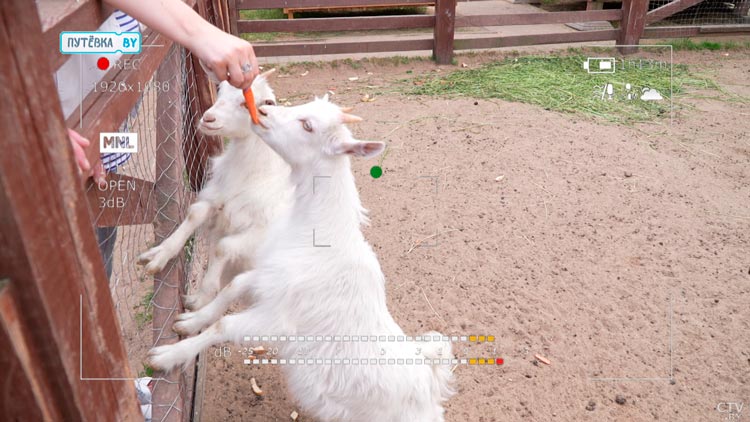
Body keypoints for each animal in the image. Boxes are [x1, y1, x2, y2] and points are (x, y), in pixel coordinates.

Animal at [138, 71, 294, 310]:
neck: (255, 173)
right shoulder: (218, 198)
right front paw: (160, 254)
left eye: (245, 103)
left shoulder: (260, 232)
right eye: (220, 90)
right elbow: (195, 214)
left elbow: (223, 247)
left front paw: (201, 297)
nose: (207, 118)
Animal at [146, 96, 452, 422]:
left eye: (308, 126)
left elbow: (224, 327)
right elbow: (231, 288)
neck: (321, 235)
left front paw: (167, 356)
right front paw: (189, 320)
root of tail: (431, 388)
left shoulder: (279, 321)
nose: (263, 110)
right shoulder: (267, 276)